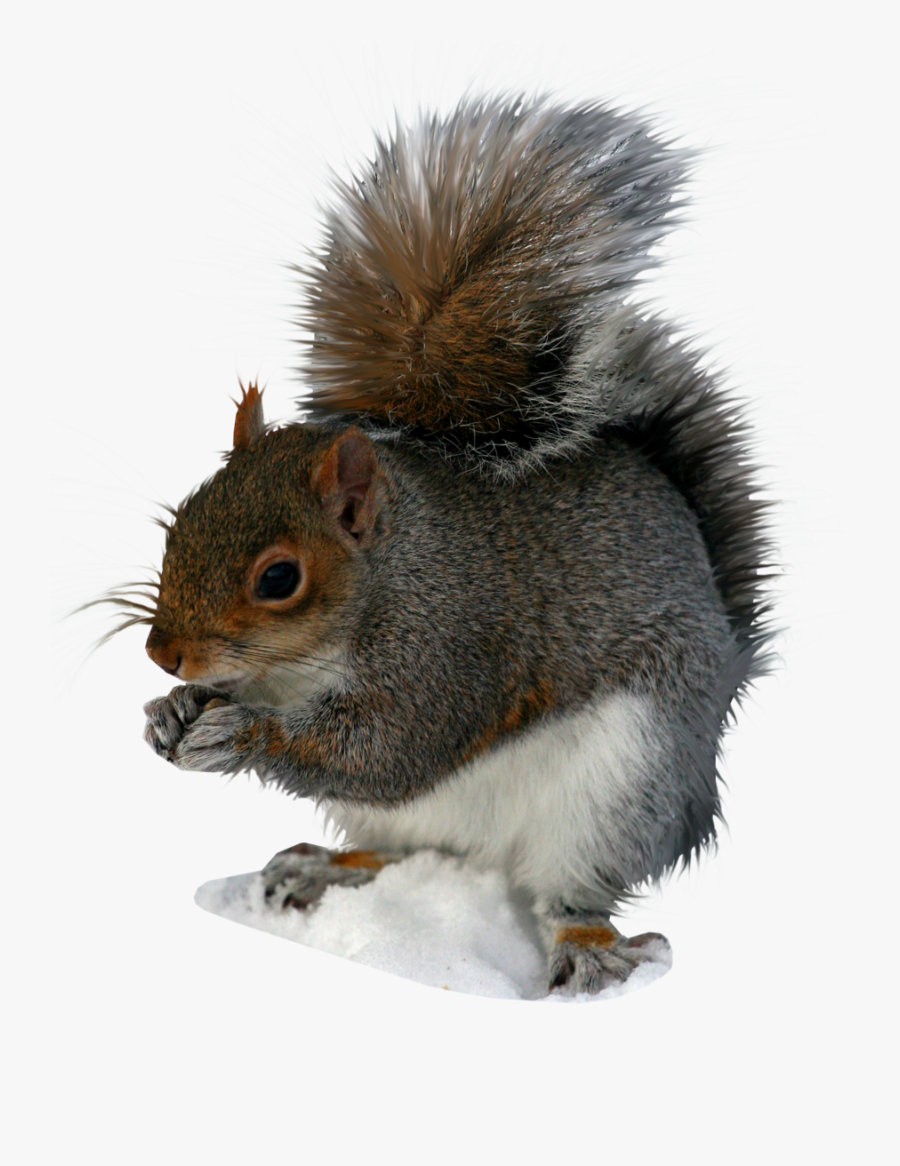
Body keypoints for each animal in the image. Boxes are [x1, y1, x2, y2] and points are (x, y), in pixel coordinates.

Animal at [130, 96, 773, 994]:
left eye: (280, 577)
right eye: (177, 523)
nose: (164, 655)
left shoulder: (451, 646)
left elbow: (391, 747)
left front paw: (238, 734)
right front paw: (170, 713)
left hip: (623, 784)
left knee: (571, 889)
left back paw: (588, 950)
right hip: (419, 825)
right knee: (401, 846)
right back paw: (328, 868)